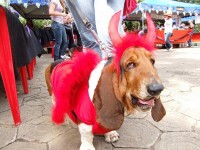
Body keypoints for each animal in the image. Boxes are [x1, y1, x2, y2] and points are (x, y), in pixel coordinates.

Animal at [45, 11, 166, 150]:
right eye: (130, 65)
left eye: (152, 61)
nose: (157, 89)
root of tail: (59, 60)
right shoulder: (84, 121)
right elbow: (87, 134)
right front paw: (88, 146)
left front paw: (110, 134)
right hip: (53, 94)